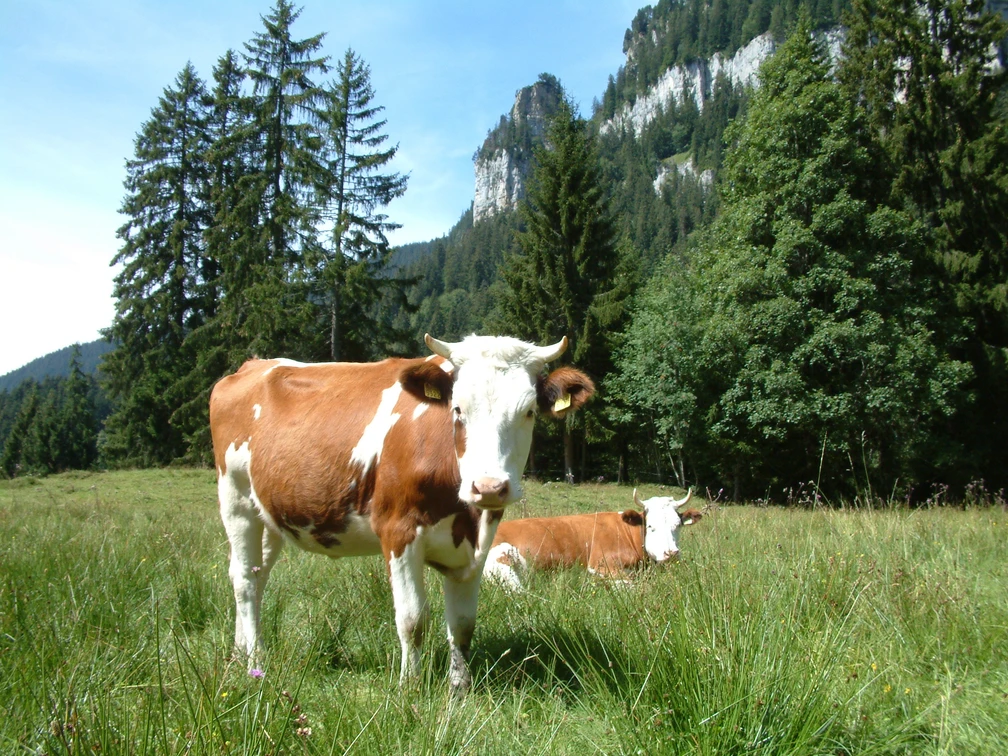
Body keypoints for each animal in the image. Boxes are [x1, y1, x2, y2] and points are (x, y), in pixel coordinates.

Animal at [209, 334, 594, 693]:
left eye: (528, 411)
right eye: (457, 409)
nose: (488, 487)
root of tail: (254, 364)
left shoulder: (476, 545)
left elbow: (463, 623)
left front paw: (460, 689)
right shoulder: (398, 531)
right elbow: (412, 619)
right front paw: (409, 687)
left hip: (271, 515)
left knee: (257, 576)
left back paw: (240, 652)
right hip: (236, 499)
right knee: (243, 580)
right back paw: (255, 659)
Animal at [483, 488, 701, 590]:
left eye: (677, 525)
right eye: (650, 526)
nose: (671, 553)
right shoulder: (601, 564)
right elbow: (632, 585)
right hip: (503, 564)